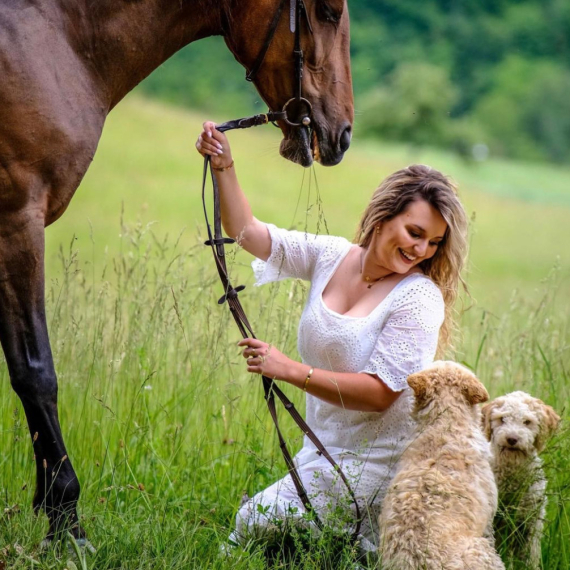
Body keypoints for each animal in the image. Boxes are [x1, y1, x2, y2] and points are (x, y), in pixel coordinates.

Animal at [0, 0, 352, 540]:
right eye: (329, 11)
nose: (344, 134)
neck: (60, 41)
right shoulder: (17, 220)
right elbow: (34, 371)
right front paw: (65, 520)